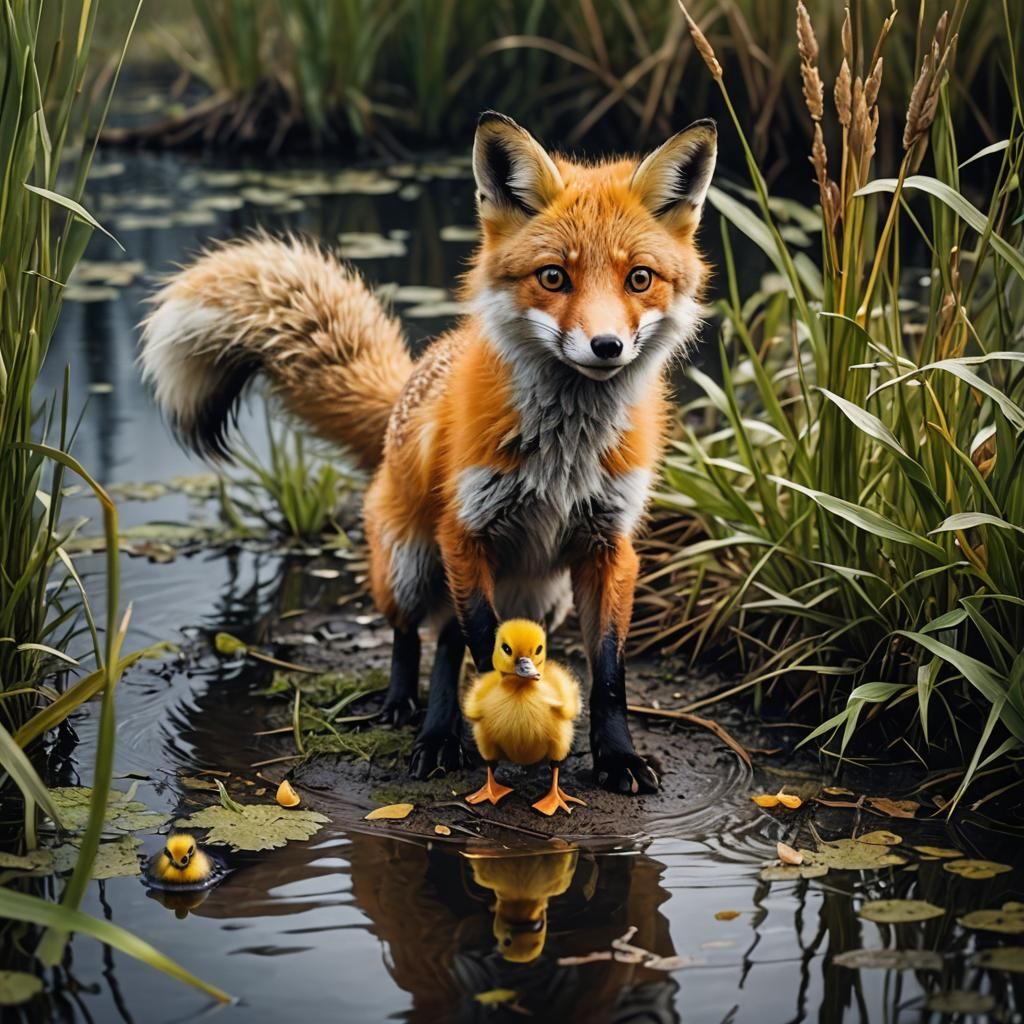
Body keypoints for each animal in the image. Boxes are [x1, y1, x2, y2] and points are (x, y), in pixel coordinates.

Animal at [139, 110, 717, 794]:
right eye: (554, 276)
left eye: (639, 279)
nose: (607, 347)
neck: (563, 452)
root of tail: (407, 387)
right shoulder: (465, 530)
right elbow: (485, 648)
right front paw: (495, 732)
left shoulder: (609, 546)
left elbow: (608, 673)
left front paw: (616, 757)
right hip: (416, 564)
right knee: (421, 637)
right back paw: (415, 716)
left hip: (538, 593)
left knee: (449, 639)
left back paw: (442, 731)